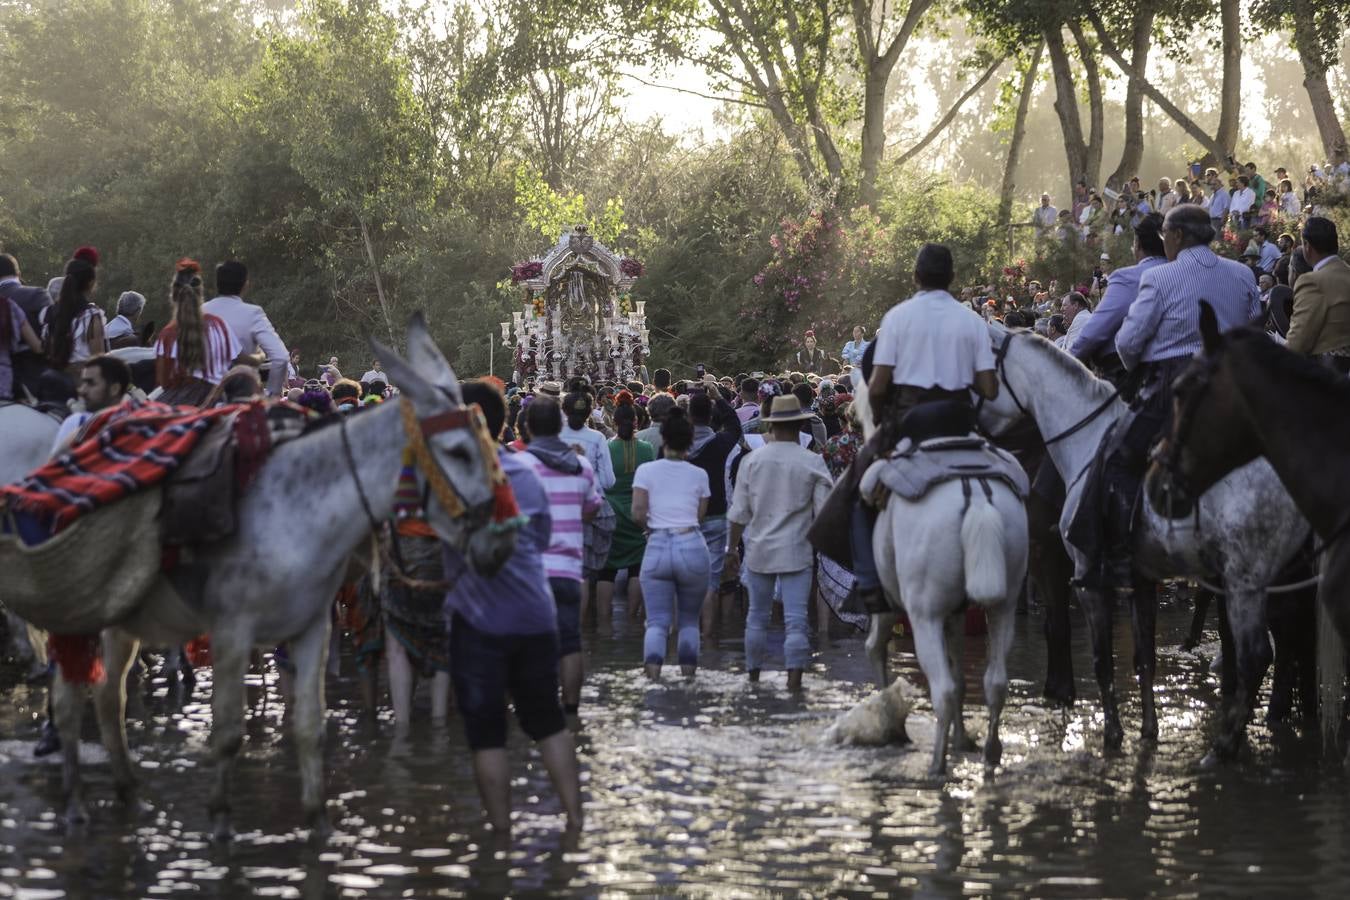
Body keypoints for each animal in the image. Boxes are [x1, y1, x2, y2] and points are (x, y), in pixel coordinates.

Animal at [7, 317, 513, 836]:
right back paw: (74, 803)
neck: (300, 513)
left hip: (119, 615)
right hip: (80, 607)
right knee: (71, 702)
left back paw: (128, 791)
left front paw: (318, 821)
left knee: (110, 698)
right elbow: (228, 732)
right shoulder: (232, 630)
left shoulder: (311, 628)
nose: (500, 543)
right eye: (458, 452)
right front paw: (220, 821)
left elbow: (310, 726)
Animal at [847, 385, 1026, 777]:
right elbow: (961, 679)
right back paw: (990, 753)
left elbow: (875, 648)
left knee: (940, 688)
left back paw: (935, 765)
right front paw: (962, 738)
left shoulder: (891, 603)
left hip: (923, 613)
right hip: (1004, 606)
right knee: (995, 682)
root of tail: (974, 490)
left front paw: (891, 722)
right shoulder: (956, 613)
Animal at [977, 325, 1312, 761]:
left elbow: (1101, 660)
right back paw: (1275, 715)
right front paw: (1149, 731)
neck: (1087, 439)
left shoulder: (1085, 577)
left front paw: (1112, 734)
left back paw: (1225, 746)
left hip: (1246, 578)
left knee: (1258, 655)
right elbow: (1144, 658)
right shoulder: (1141, 579)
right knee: (1289, 637)